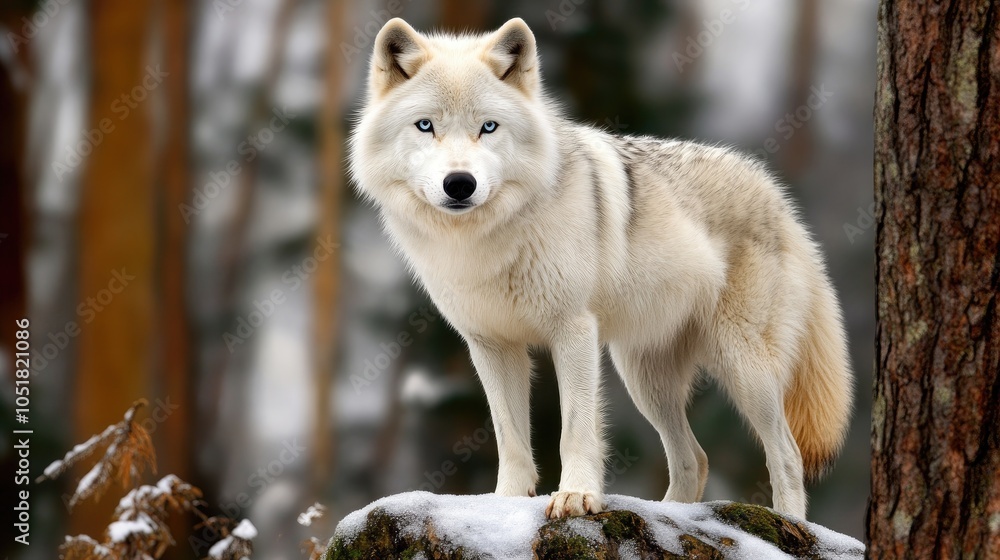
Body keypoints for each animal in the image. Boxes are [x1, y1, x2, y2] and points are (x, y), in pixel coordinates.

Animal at [349, 17, 853, 520]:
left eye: (488, 127)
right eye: (426, 126)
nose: (460, 184)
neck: (483, 242)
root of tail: (779, 198)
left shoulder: (573, 331)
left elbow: (575, 428)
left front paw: (576, 496)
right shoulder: (491, 344)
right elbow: (509, 435)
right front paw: (506, 505)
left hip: (743, 369)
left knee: (786, 452)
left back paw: (789, 523)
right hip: (645, 379)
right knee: (695, 458)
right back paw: (671, 514)